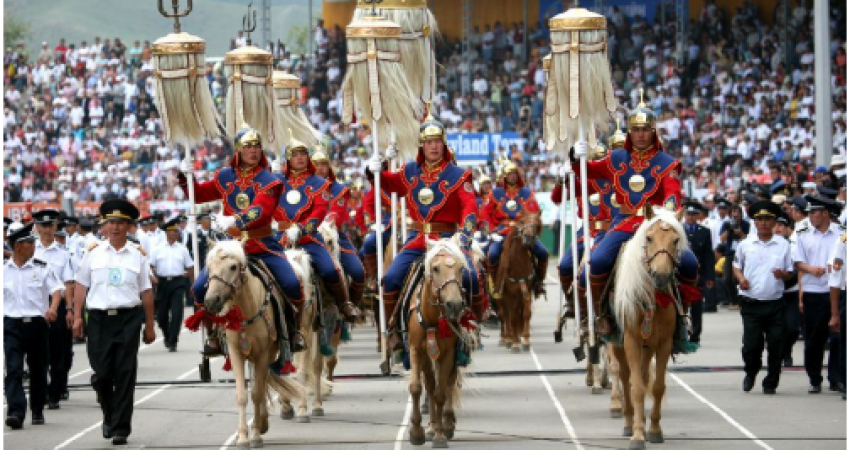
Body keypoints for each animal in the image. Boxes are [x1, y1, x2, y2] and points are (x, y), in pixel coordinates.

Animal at [203, 243, 306, 450]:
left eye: (233, 266)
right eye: (208, 268)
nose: (211, 301)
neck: (246, 310)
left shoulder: (263, 354)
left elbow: (257, 394)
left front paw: (256, 433)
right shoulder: (236, 353)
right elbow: (242, 395)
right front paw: (243, 437)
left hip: (269, 353)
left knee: (263, 382)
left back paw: (264, 422)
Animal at [406, 237, 474, 448]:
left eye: (461, 268)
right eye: (435, 268)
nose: (455, 305)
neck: (433, 319)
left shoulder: (449, 353)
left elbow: (441, 392)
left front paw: (439, 435)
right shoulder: (416, 350)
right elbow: (417, 387)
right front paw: (417, 431)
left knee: (449, 383)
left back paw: (446, 424)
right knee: (429, 383)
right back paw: (432, 425)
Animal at [494, 209, 540, 354]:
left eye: (536, 223)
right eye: (522, 221)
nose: (528, 238)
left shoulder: (526, 291)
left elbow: (526, 314)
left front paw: (526, 340)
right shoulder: (508, 294)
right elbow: (512, 317)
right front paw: (514, 343)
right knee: (504, 315)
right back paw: (506, 338)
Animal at [608, 208, 688, 450]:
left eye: (675, 240)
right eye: (649, 238)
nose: (661, 276)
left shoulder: (663, 344)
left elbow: (657, 387)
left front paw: (653, 430)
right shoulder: (631, 341)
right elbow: (636, 387)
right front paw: (637, 435)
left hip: (648, 346)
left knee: (643, 376)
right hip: (620, 345)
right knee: (625, 376)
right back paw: (628, 421)